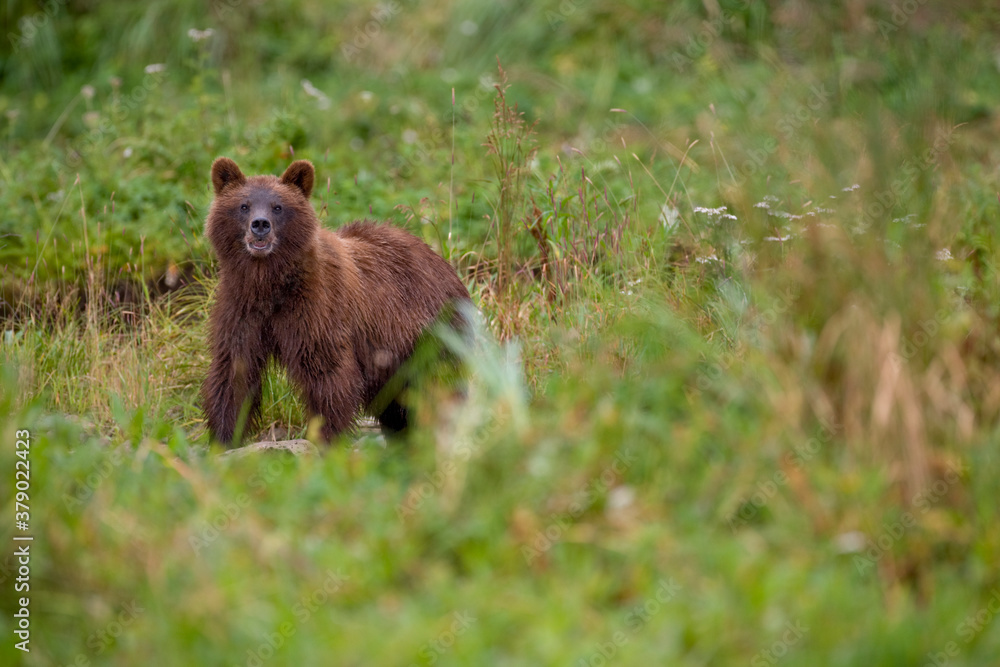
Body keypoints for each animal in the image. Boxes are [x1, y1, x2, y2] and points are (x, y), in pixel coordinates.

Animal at [201, 157, 471, 446]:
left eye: (278, 207)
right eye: (244, 205)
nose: (260, 224)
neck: (269, 283)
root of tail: (444, 263)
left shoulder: (317, 308)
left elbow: (327, 375)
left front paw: (328, 437)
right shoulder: (241, 307)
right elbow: (234, 371)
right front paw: (224, 438)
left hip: (431, 336)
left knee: (439, 387)